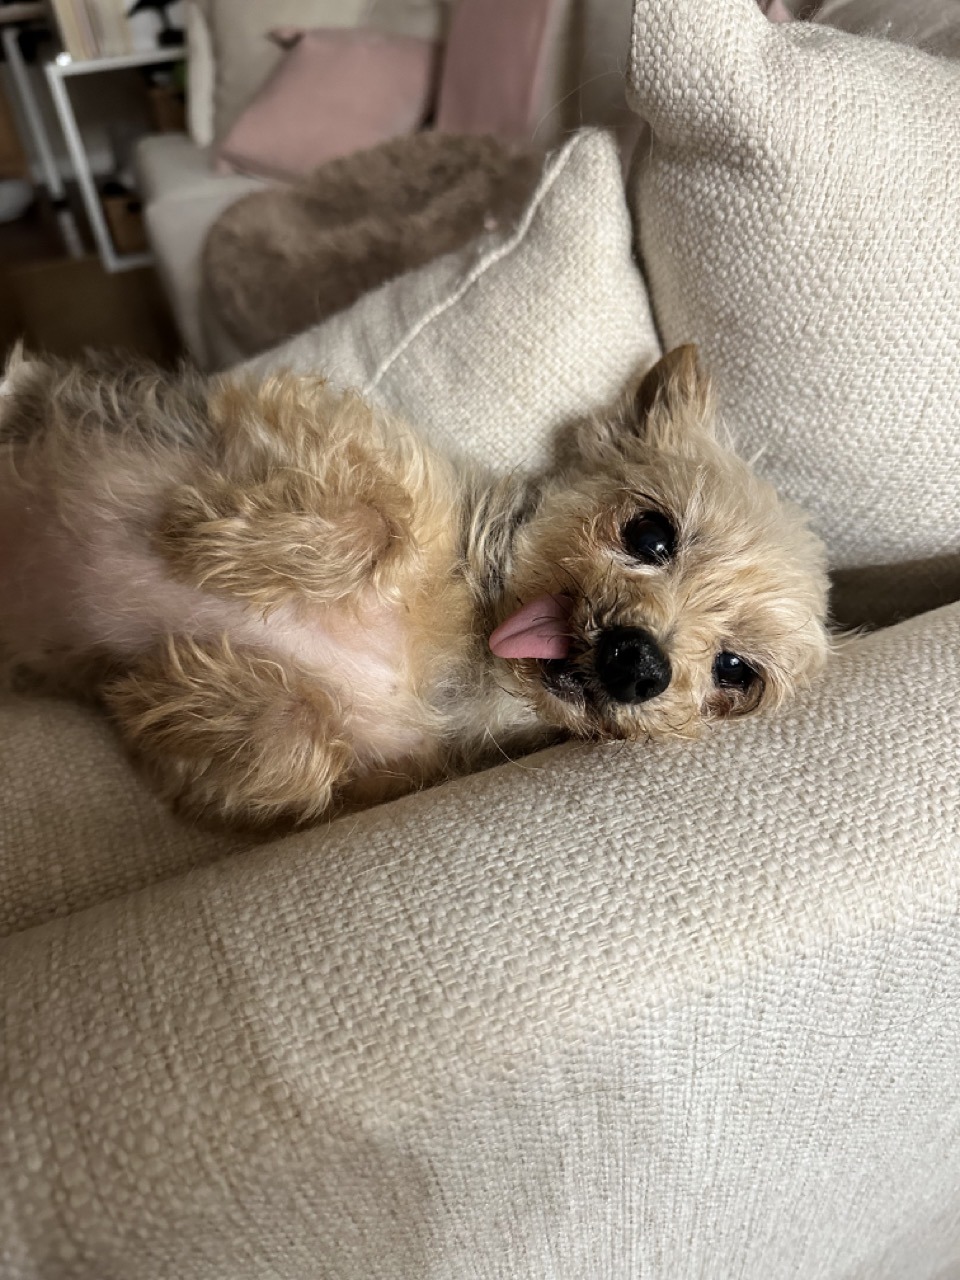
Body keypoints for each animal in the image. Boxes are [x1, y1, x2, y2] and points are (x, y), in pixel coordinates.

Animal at [0, 345, 829, 829]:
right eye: (650, 533)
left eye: (735, 672)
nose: (640, 663)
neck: (467, 650)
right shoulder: (305, 421)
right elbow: (375, 519)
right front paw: (209, 542)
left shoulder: (369, 772)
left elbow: (295, 752)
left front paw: (177, 696)